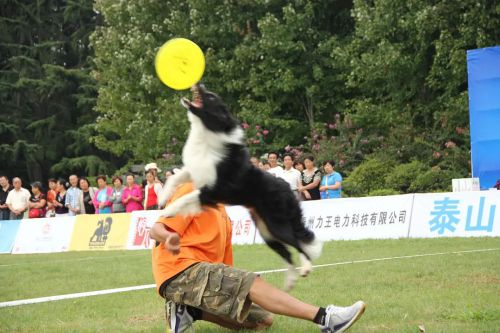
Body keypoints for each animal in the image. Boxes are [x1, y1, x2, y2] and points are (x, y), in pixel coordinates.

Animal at [160, 83, 324, 290]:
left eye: (211, 97)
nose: (200, 84)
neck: (208, 132)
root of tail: (287, 187)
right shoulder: (197, 171)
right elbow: (174, 178)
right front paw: (163, 197)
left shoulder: (214, 190)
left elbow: (187, 197)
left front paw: (168, 211)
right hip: (265, 231)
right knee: (287, 253)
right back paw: (289, 282)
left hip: (276, 224)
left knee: (298, 242)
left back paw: (306, 268)